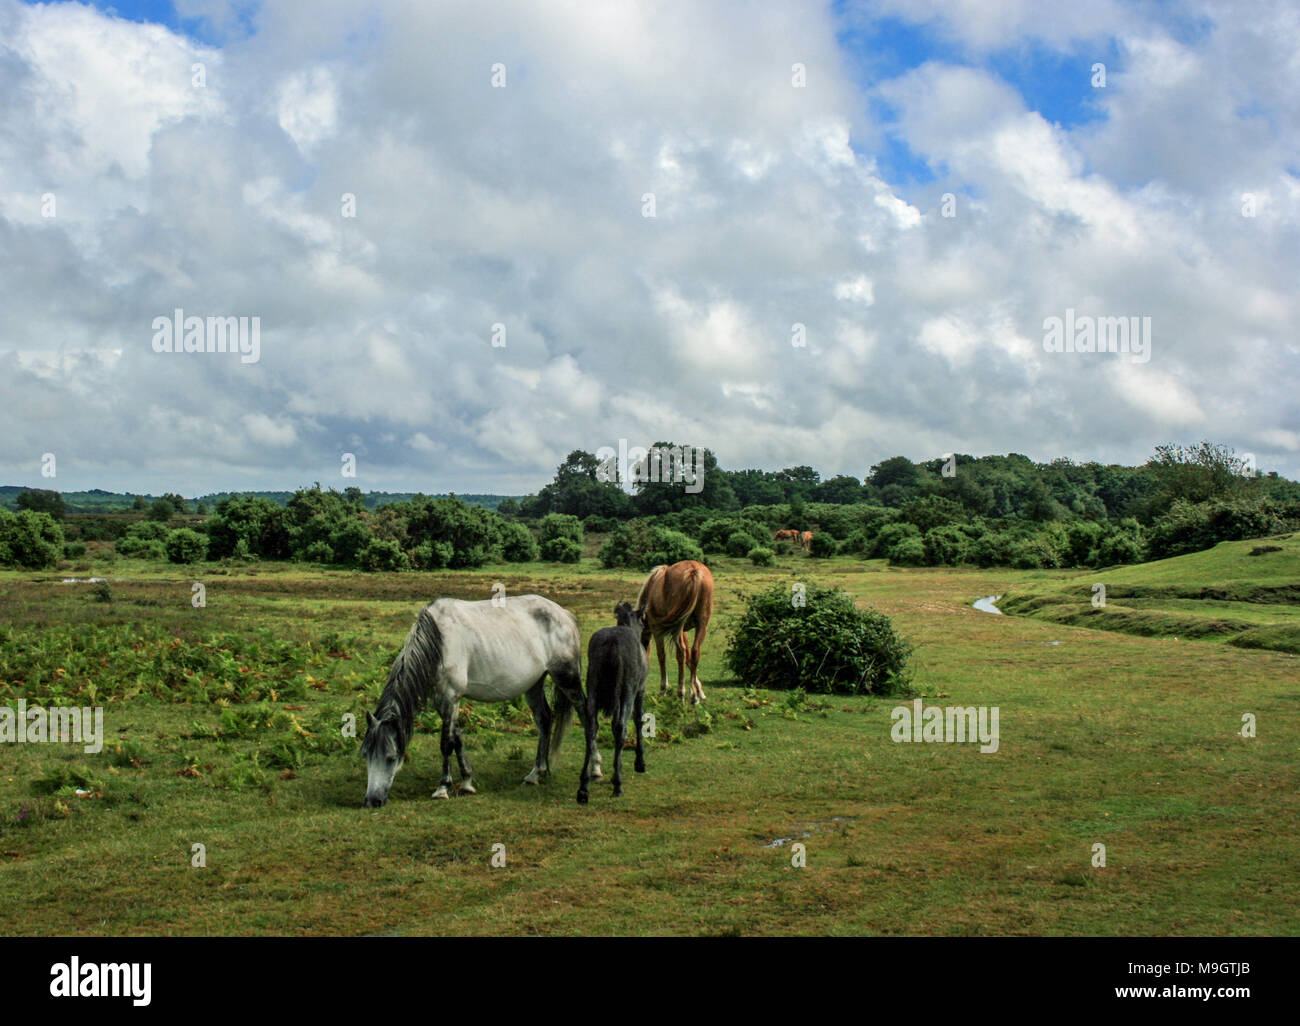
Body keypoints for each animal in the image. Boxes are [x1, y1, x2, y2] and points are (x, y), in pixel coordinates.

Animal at [361, 592, 595, 806]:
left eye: (391, 757)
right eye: (365, 754)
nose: (372, 801)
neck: (439, 641)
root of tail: (564, 614)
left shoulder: (451, 697)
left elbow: (446, 743)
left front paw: (443, 788)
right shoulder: (443, 700)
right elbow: (457, 738)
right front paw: (466, 782)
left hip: (567, 678)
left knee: (586, 716)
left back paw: (594, 770)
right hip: (534, 684)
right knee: (545, 720)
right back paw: (536, 773)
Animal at [577, 600, 647, 801]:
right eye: (643, 623)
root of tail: (612, 643)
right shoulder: (640, 690)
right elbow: (639, 720)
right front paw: (640, 762)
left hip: (592, 688)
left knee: (591, 727)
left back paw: (583, 786)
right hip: (627, 692)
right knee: (620, 727)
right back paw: (618, 783)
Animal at [637, 559, 717, 702]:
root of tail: (693, 571)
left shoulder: (657, 631)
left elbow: (661, 656)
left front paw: (663, 688)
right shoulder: (683, 631)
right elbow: (688, 658)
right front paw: (699, 690)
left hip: (676, 628)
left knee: (681, 653)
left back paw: (682, 692)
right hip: (700, 625)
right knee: (694, 652)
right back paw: (693, 696)